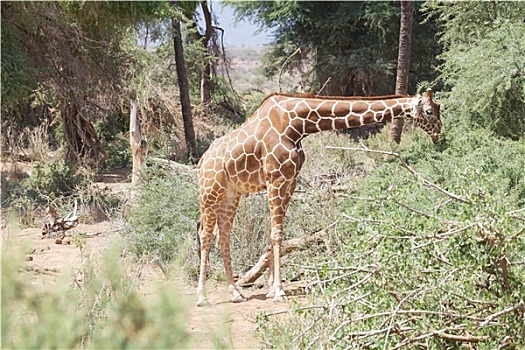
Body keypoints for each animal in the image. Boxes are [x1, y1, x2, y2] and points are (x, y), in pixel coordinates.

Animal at [194, 88, 440, 306]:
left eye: (438, 109)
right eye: (429, 111)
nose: (439, 134)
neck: (298, 124)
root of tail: (202, 160)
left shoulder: (290, 180)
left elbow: (278, 233)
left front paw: (272, 286)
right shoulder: (276, 179)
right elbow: (276, 233)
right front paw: (279, 291)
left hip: (230, 195)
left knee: (222, 236)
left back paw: (236, 293)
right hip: (210, 191)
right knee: (205, 234)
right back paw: (202, 296)